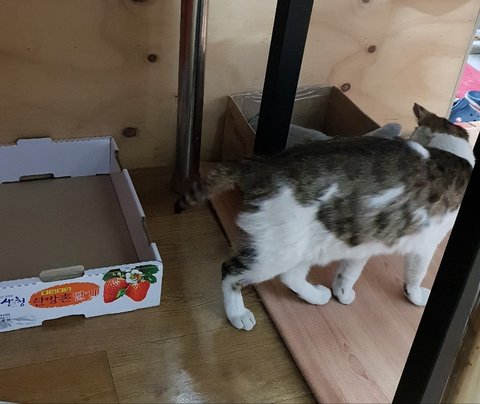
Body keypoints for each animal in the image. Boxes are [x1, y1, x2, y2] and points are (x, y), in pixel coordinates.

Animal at [176, 103, 474, 331]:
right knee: (231, 270)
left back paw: (317, 296)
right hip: (277, 250)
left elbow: (349, 272)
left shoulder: (366, 241)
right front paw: (417, 296)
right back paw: (238, 314)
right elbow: (415, 276)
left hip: (311, 242)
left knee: (290, 277)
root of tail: (264, 164)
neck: (445, 149)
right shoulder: (426, 244)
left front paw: (342, 293)